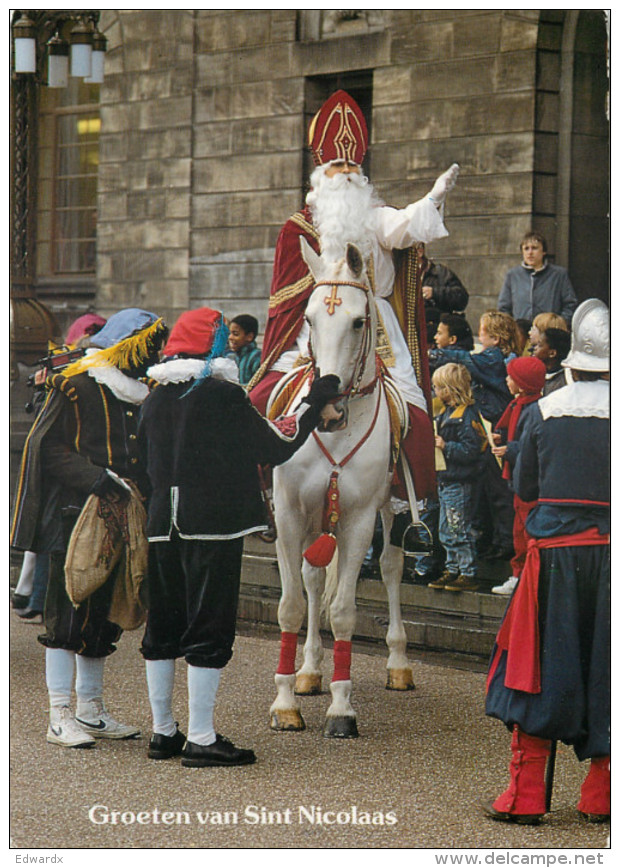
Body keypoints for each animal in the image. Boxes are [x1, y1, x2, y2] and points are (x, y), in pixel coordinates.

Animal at [268, 239, 414, 740]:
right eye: (310, 319)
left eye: (358, 321)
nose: (328, 403)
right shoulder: (289, 514)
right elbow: (292, 605)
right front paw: (285, 701)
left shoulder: (358, 520)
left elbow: (346, 610)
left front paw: (341, 709)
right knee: (313, 580)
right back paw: (310, 671)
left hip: (390, 511)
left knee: (391, 567)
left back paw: (398, 662)